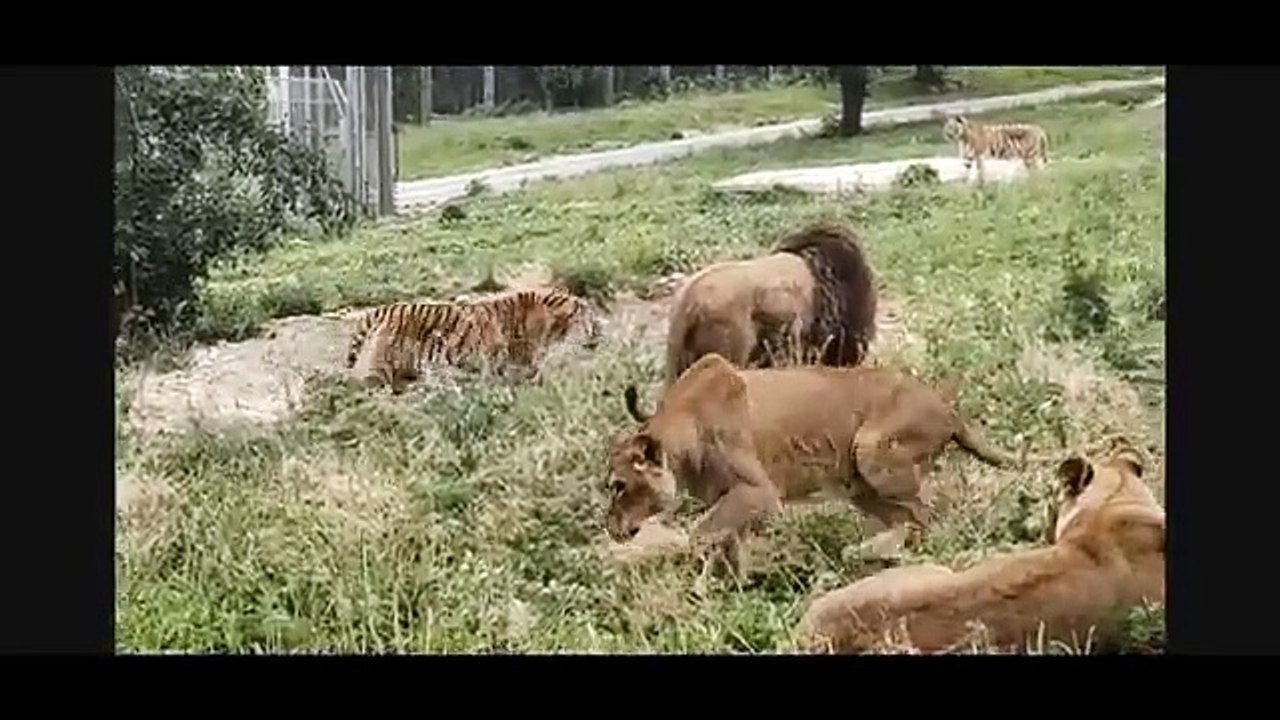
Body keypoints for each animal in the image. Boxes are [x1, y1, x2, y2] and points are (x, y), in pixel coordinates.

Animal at [605, 353, 1021, 572]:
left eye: (619, 486)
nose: (609, 526)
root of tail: (948, 409)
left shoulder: (759, 492)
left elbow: (702, 533)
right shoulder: (737, 501)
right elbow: (728, 542)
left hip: (873, 449)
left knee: (926, 511)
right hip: (859, 484)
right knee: (907, 517)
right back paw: (870, 554)